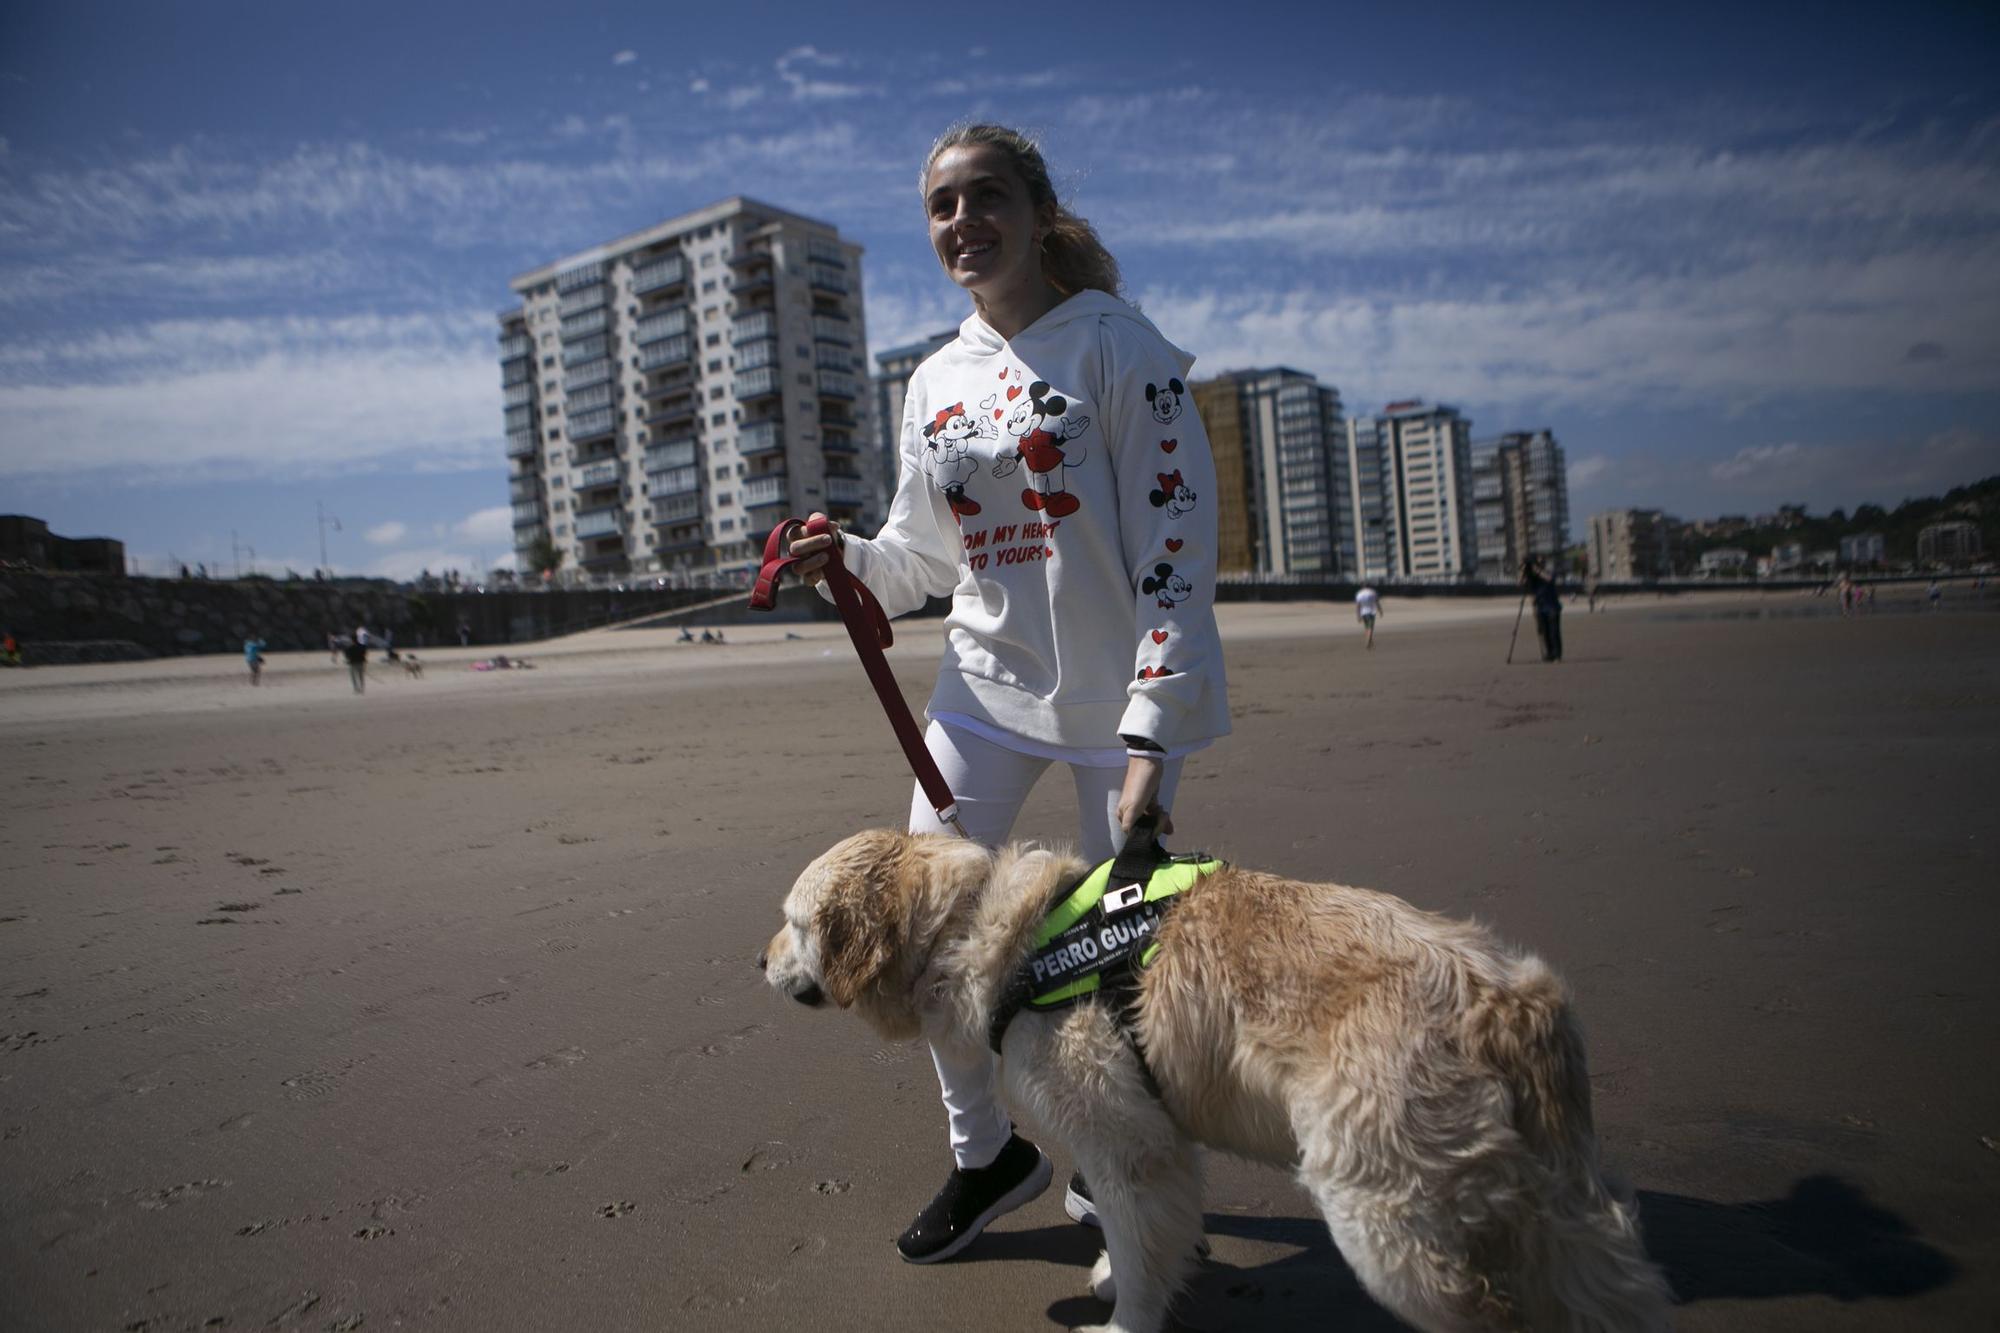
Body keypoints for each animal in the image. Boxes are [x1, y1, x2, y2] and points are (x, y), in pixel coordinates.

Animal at [760, 832, 1672, 1328]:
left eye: (793, 923)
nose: (754, 961)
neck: (996, 933)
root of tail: (1511, 997)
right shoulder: (1157, 1134)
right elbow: (1146, 1237)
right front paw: (1113, 1275)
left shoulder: (1127, 1142)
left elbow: (1138, 1247)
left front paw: (1122, 1321)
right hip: (1564, 1219)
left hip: (1386, 1219)